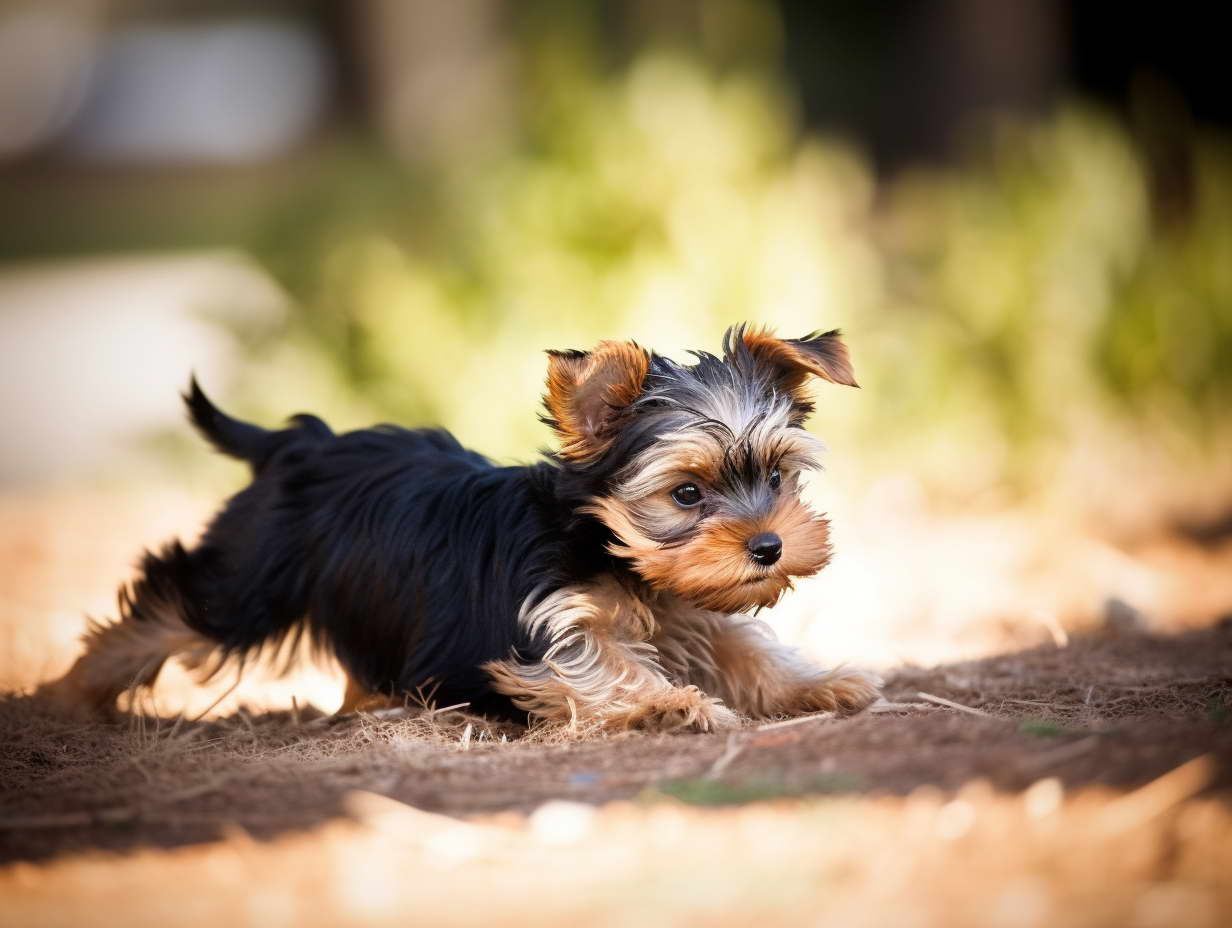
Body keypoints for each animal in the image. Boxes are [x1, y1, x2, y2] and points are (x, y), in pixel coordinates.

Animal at [40, 327, 887, 729]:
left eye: (774, 479)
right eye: (686, 494)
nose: (769, 546)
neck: (609, 547)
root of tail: (299, 441)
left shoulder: (696, 607)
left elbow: (746, 646)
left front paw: (817, 683)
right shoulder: (545, 621)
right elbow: (597, 663)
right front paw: (662, 705)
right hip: (250, 578)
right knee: (168, 609)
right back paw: (71, 694)